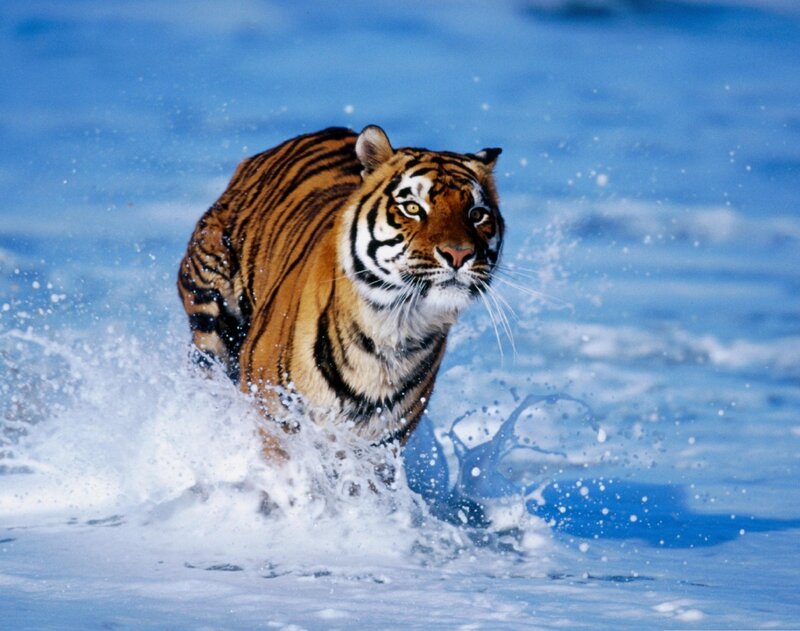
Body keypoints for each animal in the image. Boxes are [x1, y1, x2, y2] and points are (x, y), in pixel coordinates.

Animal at [177, 125, 503, 447]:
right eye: (412, 208)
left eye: (477, 214)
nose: (458, 254)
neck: (393, 329)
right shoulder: (273, 414)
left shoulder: (380, 443)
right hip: (211, 318)